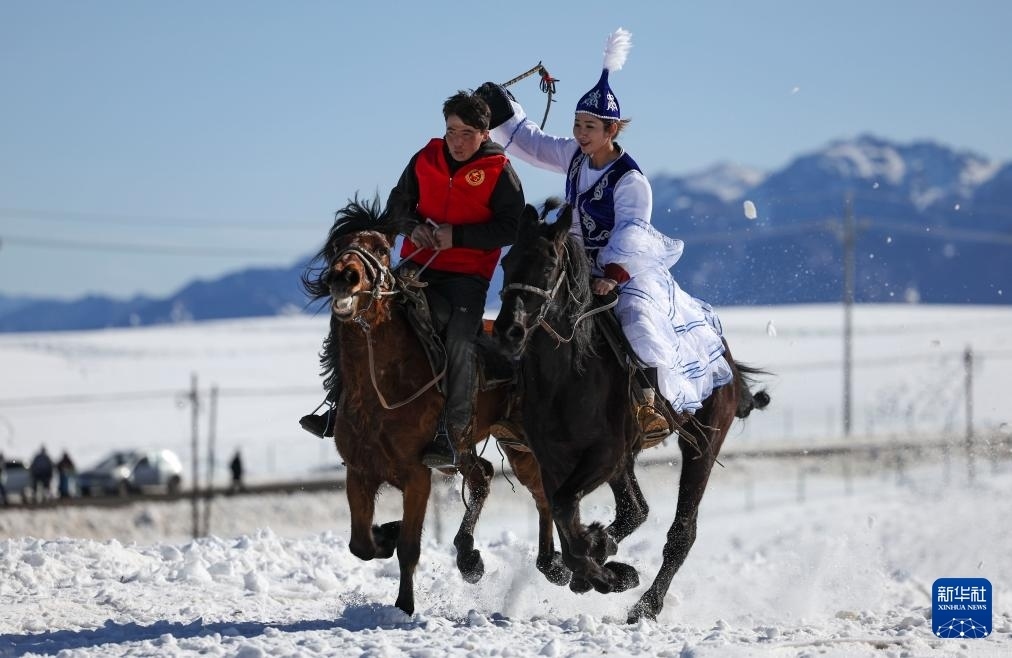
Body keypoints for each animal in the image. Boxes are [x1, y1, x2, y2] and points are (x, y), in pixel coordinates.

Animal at [301, 196, 569, 616]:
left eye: (381, 248)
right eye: (337, 246)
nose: (343, 276)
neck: (379, 390)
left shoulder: (417, 476)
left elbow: (409, 548)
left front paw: (404, 605)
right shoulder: (359, 471)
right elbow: (361, 544)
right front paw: (386, 533)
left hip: (520, 444)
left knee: (539, 490)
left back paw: (550, 564)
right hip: (495, 445)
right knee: (489, 477)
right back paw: (479, 558)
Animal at [492, 200, 769, 623]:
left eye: (548, 264)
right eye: (507, 262)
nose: (509, 332)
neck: (568, 376)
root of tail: (728, 362)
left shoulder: (605, 454)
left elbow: (565, 511)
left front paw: (609, 574)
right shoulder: (554, 459)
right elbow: (563, 515)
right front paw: (595, 561)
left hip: (702, 444)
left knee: (680, 532)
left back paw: (645, 604)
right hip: (627, 462)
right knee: (634, 509)